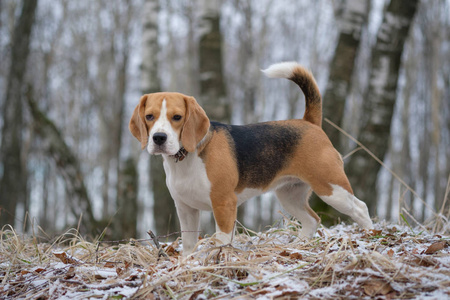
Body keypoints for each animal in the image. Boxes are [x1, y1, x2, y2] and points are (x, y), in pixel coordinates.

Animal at [129, 61, 372, 255]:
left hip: (331, 188)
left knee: (360, 208)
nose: (159, 138)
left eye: (177, 117)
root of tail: (308, 122)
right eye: (149, 116)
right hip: (290, 195)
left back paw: (371, 235)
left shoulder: (224, 204)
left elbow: (222, 240)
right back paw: (299, 246)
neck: (187, 157)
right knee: (312, 220)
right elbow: (188, 244)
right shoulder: (185, 208)